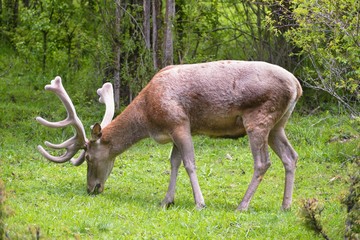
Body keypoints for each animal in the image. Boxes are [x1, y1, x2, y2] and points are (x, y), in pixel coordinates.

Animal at [36, 60, 302, 210]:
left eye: (89, 158)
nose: (92, 188)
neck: (149, 118)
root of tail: (297, 86)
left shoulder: (179, 122)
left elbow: (189, 163)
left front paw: (200, 203)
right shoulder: (175, 130)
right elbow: (174, 162)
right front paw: (167, 200)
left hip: (258, 118)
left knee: (263, 162)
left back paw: (242, 205)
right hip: (278, 125)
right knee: (291, 156)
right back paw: (286, 205)